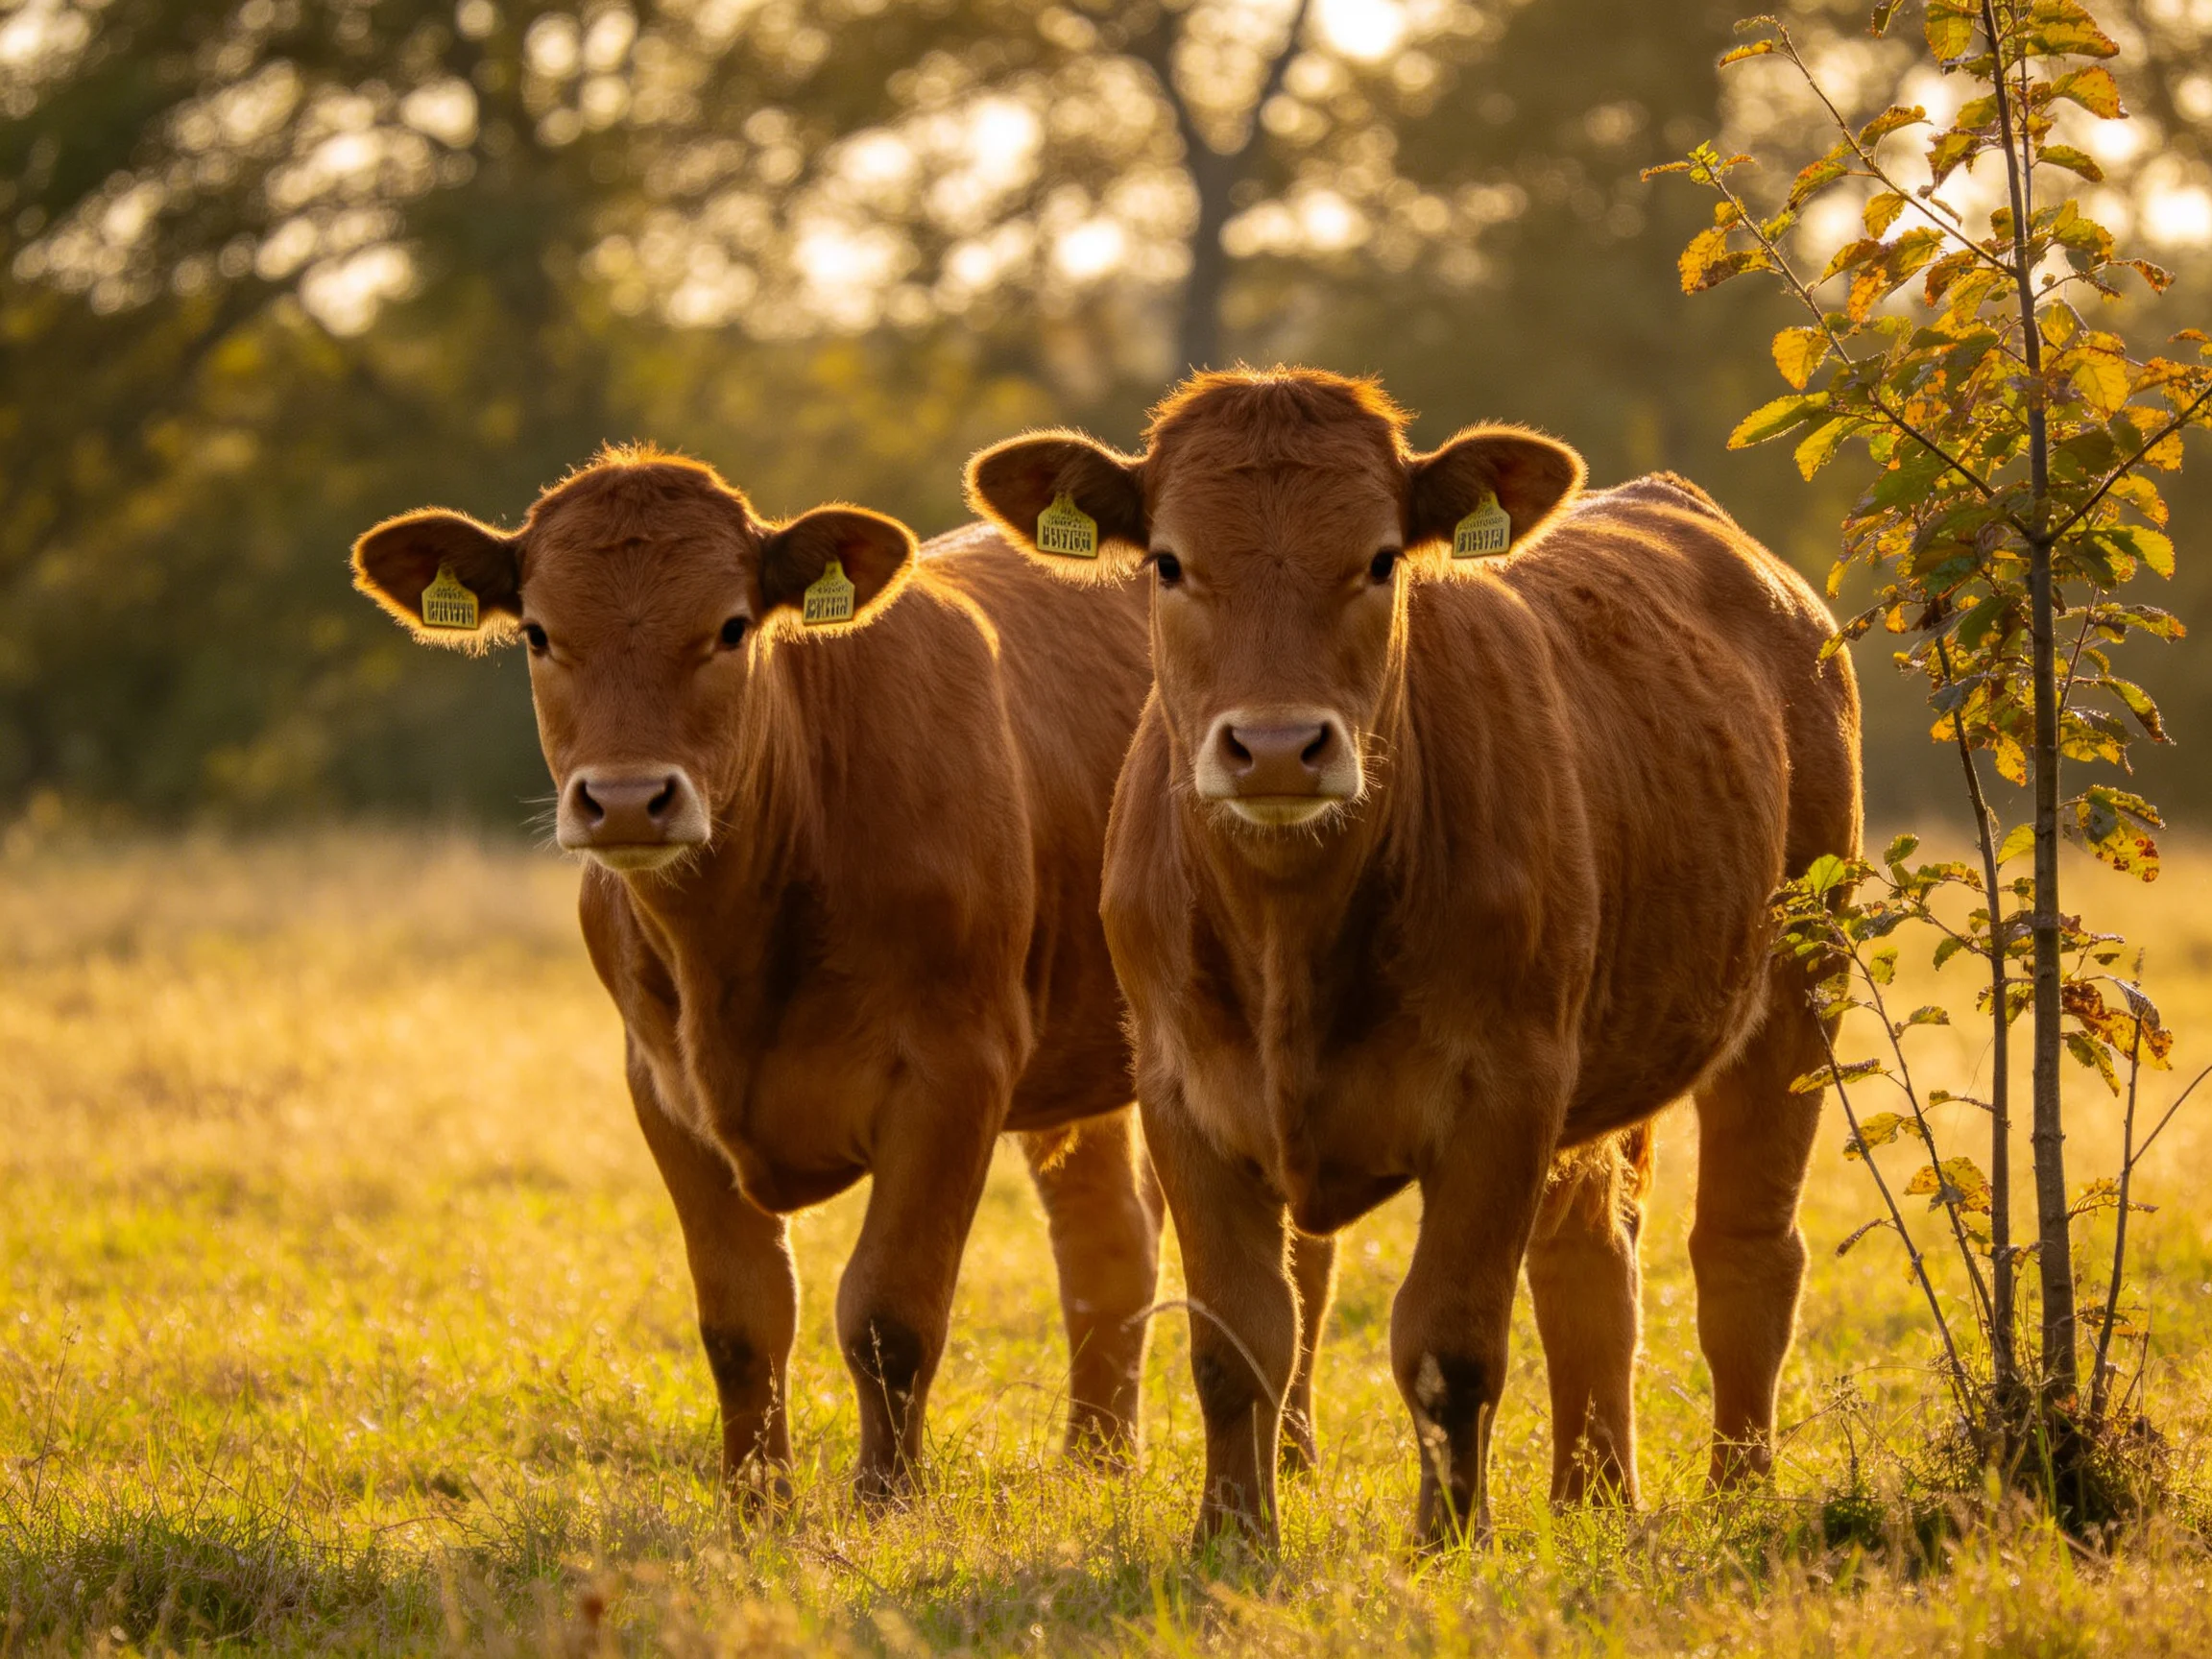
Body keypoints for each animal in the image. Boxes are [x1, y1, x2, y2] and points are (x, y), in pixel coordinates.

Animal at [350, 448, 1169, 1505]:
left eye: (732, 627)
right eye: (538, 632)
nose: (627, 800)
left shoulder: (956, 1072)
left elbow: (891, 1313)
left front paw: (886, 1502)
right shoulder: (663, 1086)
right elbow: (743, 1319)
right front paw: (757, 1504)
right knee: (1109, 1241)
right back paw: (1096, 1465)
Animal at [966, 368, 1862, 1548]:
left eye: (1382, 559)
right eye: (1167, 561)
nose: (1278, 747)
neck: (1291, 940)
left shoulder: (1505, 1091)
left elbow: (1449, 1343)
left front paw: (1448, 1544)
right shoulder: (1179, 1093)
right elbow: (1237, 1341)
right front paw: (1232, 1535)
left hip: (1799, 993)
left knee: (1742, 1253)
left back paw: (1738, 1493)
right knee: (1592, 1267)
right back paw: (1590, 1498)